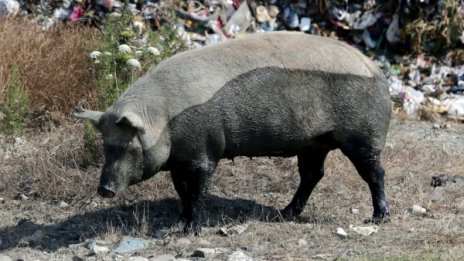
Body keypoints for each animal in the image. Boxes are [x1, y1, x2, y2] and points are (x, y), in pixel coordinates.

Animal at [75, 31, 392, 233]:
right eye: (105, 144)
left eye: (130, 146)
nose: (104, 189)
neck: (163, 118)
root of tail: (376, 70)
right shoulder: (179, 159)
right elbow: (181, 190)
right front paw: (180, 221)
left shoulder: (204, 150)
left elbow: (198, 190)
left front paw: (190, 230)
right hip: (313, 143)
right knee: (313, 174)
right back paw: (285, 214)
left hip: (362, 134)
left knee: (374, 172)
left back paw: (378, 219)